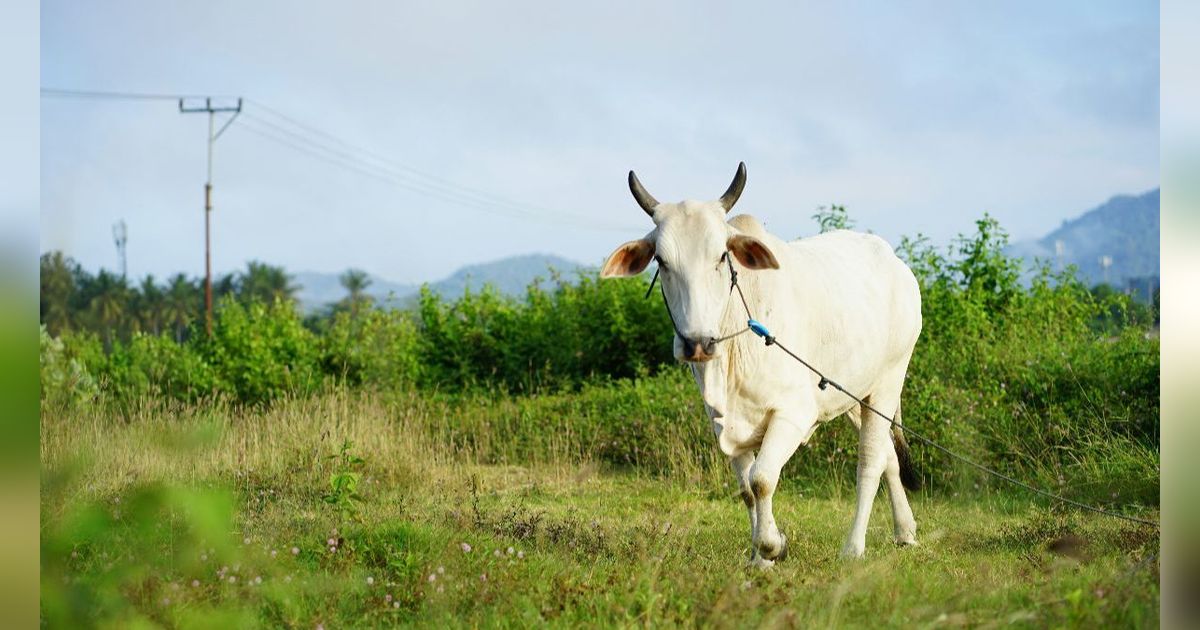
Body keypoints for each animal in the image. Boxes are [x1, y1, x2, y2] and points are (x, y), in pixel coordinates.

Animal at [604, 162, 921, 559]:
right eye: (661, 261)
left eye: (721, 256)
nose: (697, 343)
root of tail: (896, 264)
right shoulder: (723, 423)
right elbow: (746, 490)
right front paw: (760, 555)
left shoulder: (794, 414)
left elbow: (762, 480)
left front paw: (771, 546)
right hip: (853, 394)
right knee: (889, 457)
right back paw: (905, 531)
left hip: (888, 382)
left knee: (871, 462)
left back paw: (853, 547)